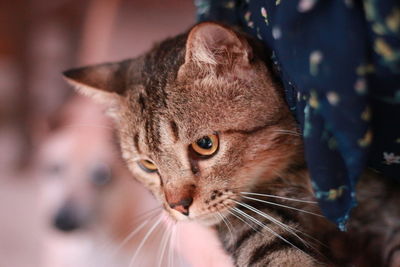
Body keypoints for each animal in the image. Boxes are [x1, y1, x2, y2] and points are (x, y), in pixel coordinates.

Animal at [62, 22, 400, 266]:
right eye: (148, 165)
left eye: (205, 144)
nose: (177, 206)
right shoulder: (249, 220)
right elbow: (275, 250)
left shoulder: (380, 204)